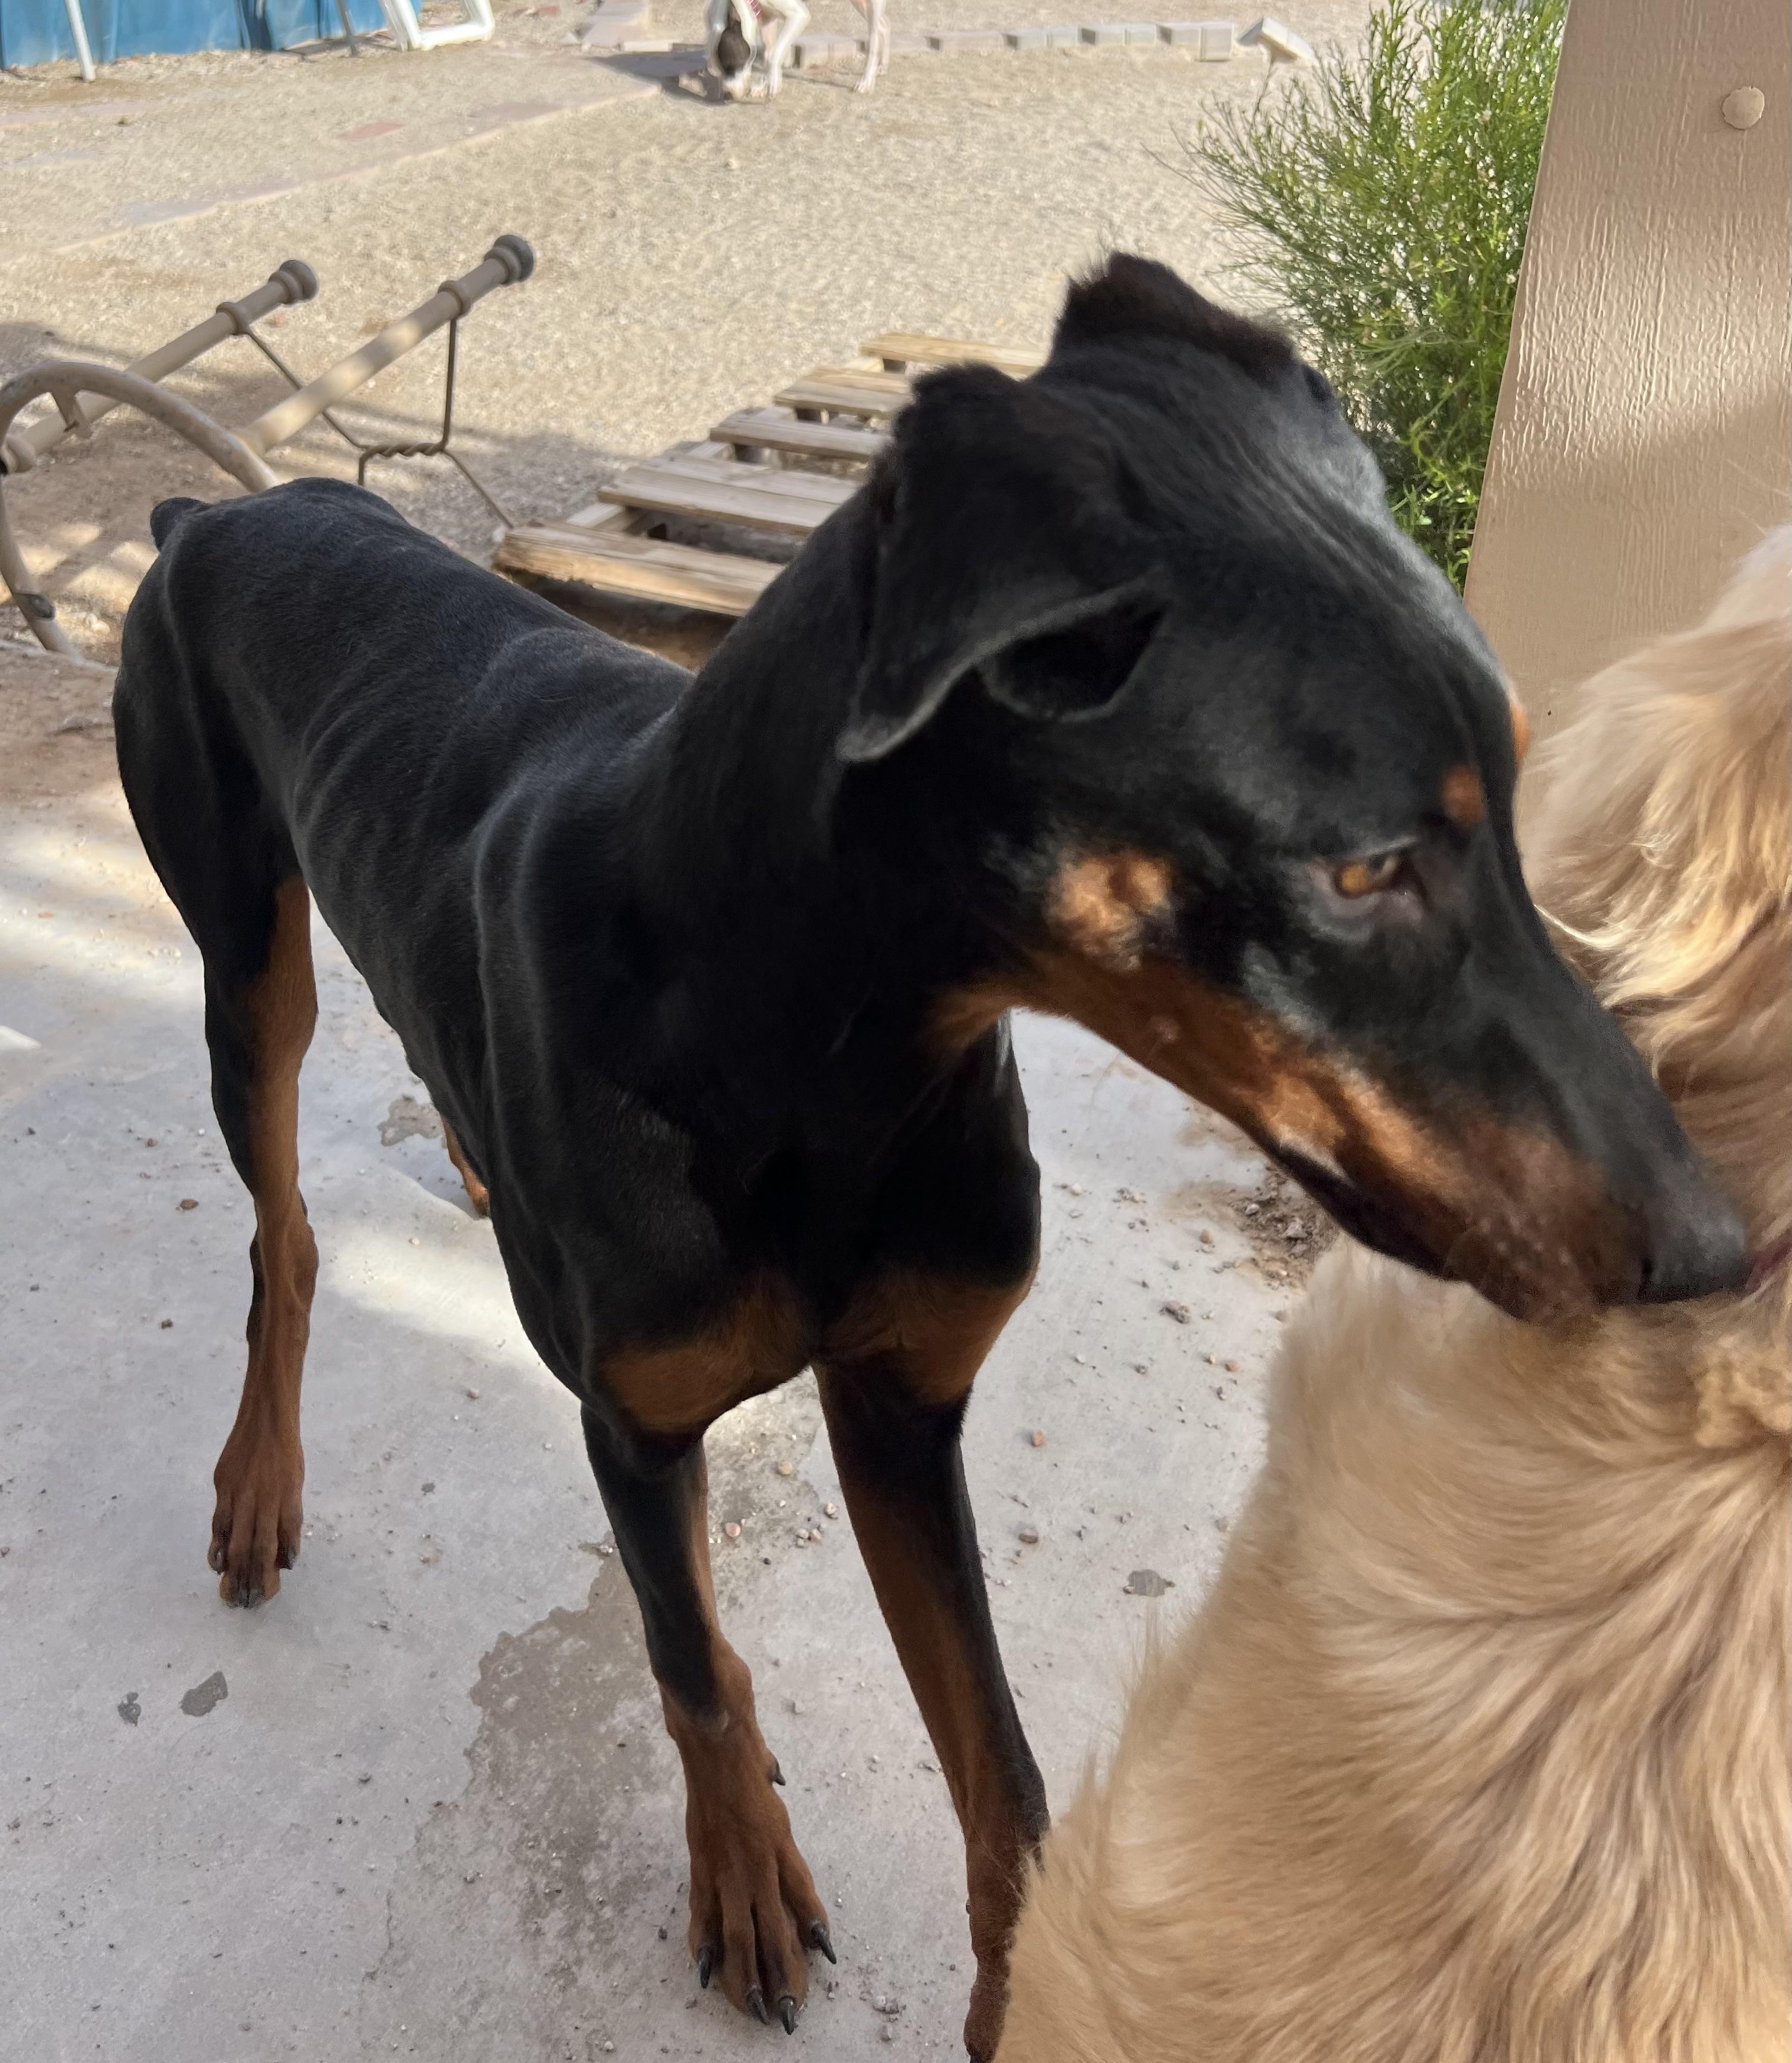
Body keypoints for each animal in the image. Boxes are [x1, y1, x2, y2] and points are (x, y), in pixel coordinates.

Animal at [706, 0, 887, 99]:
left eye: (731, 64)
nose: (727, 95)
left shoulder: (799, 16)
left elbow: (776, 53)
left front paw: (773, 84)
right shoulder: (768, 19)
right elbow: (769, 56)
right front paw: (765, 84)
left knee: (874, 38)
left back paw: (866, 81)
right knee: (884, 25)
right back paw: (882, 67)